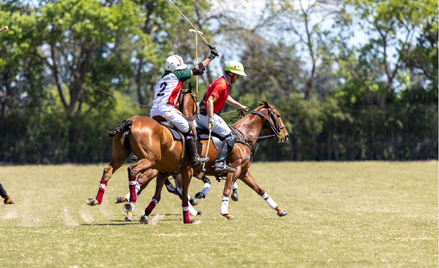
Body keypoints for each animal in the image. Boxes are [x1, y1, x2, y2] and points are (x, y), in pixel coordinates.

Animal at [141, 100, 290, 222]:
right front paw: (225, 213)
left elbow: (260, 189)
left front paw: (280, 210)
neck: (243, 136)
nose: (286, 136)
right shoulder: (235, 169)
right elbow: (227, 190)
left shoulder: (243, 172)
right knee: (148, 181)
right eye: (278, 115)